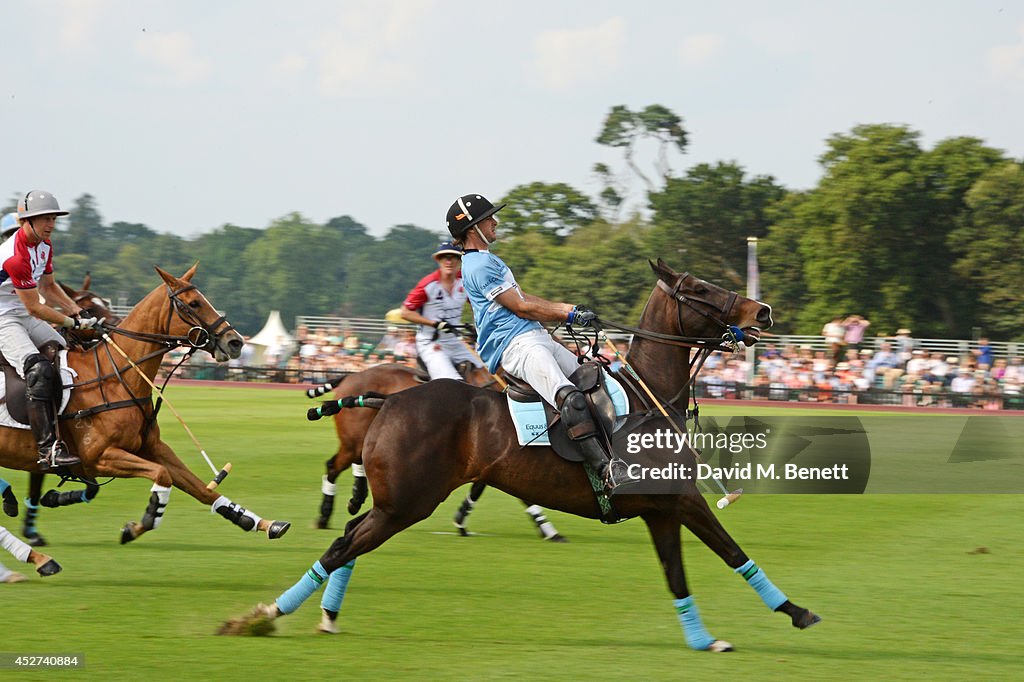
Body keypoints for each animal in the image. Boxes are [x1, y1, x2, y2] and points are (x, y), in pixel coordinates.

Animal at [1, 264, 288, 540]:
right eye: (194, 303)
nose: (235, 342)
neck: (114, 376)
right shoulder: (100, 457)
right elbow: (162, 475)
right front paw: (142, 522)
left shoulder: (152, 447)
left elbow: (201, 488)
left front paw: (263, 523)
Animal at [311, 360, 569, 540]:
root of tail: (353, 374)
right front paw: (549, 530)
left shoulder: (494, 460)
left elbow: (487, 490)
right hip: (354, 441)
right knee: (333, 466)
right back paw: (327, 514)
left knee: (353, 463)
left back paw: (355, 497)